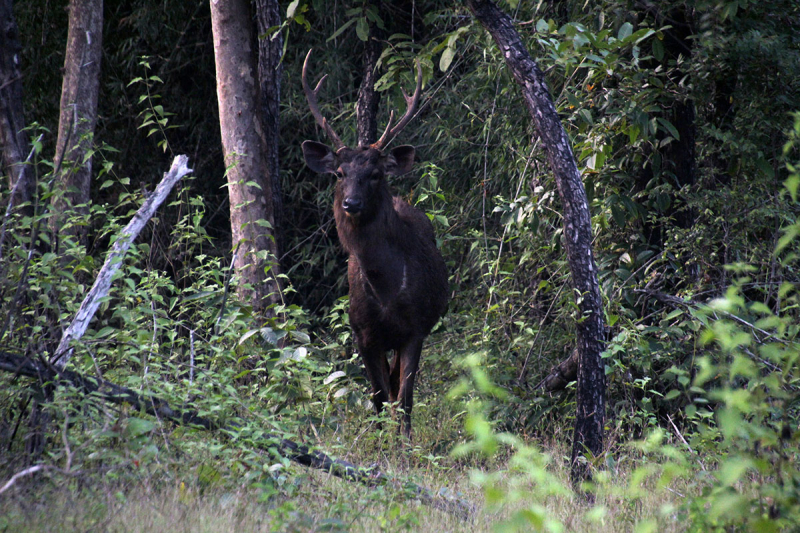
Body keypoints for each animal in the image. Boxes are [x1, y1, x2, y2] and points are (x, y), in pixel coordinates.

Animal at [302, 51, 450, 440]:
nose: (351, 203)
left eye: (375, 174)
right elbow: (379, 397)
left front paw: (405, 445)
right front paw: (381, 442)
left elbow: (405, 398)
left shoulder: (415, 328)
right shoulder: (363, 333)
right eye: (340, 173)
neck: (386, 290)